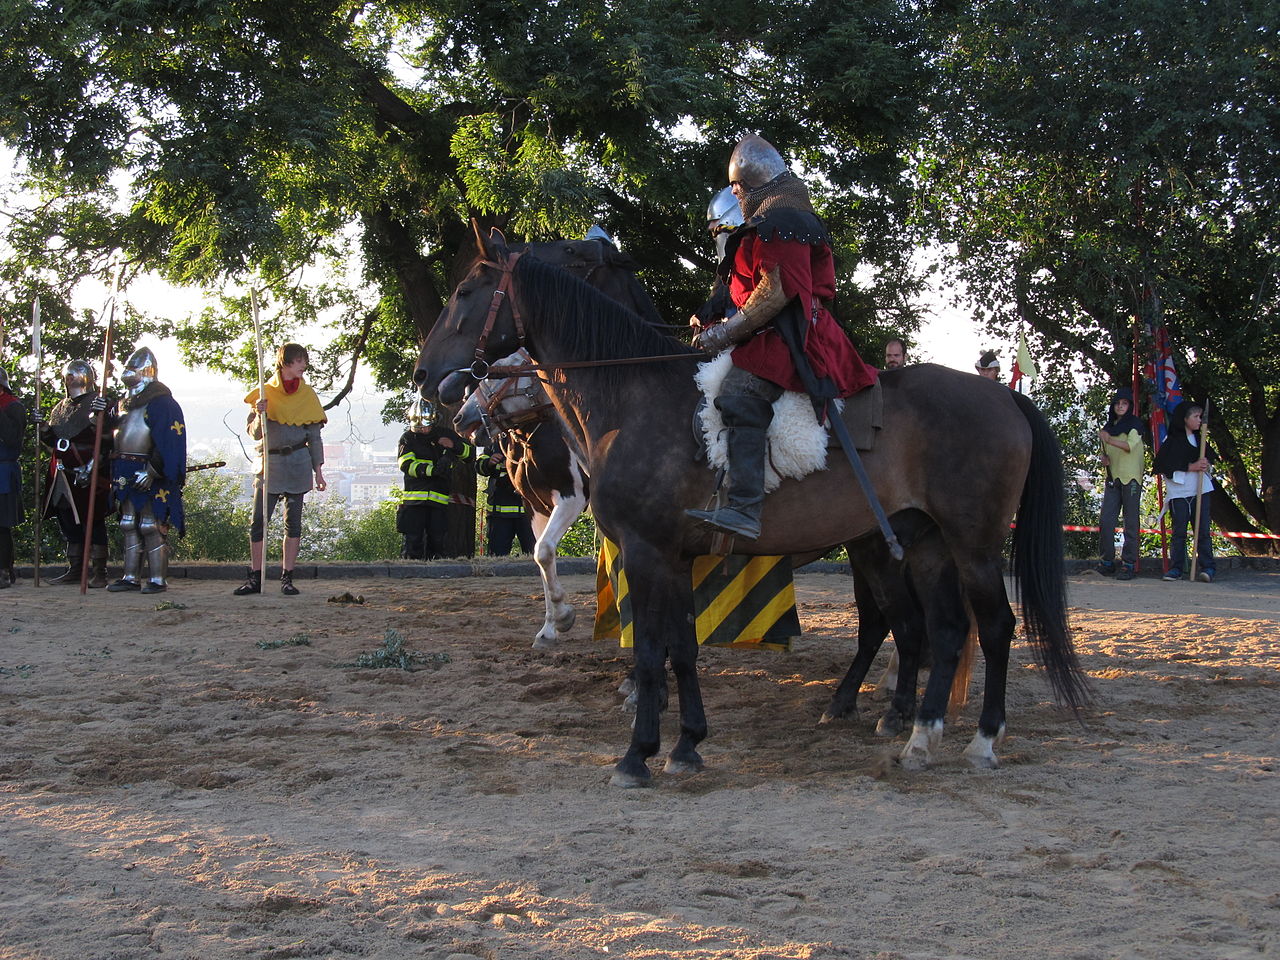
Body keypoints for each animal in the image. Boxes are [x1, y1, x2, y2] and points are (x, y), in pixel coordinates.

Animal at [417, 235, 1080, 788]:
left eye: (465, 292)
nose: (432, 380)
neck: (634, 396)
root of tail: (1003, 396)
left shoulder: (645, 550)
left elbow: (650, 649)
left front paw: (637, 753)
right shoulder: (675, 556)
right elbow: (681, 648)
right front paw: (687, 744)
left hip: (969, 543)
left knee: (988, 627)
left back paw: (981, 740)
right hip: (921, 544)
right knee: (940, 630)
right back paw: (916, 735)